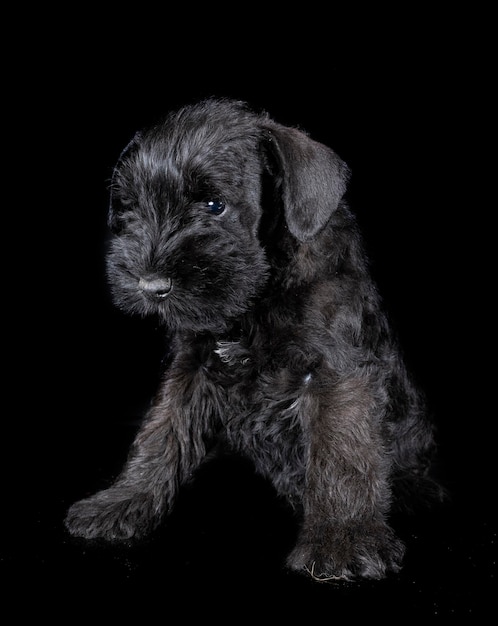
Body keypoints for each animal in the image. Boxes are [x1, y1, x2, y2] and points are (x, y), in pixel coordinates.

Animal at [65, 97, 444, 580]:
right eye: (131, 207)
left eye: (214, 205)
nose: (150, 286)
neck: (254, 303)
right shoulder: (192, 368)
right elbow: (161, 433)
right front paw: (123, 502)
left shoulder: (336, 374)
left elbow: (341, 453)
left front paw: (343, 539)